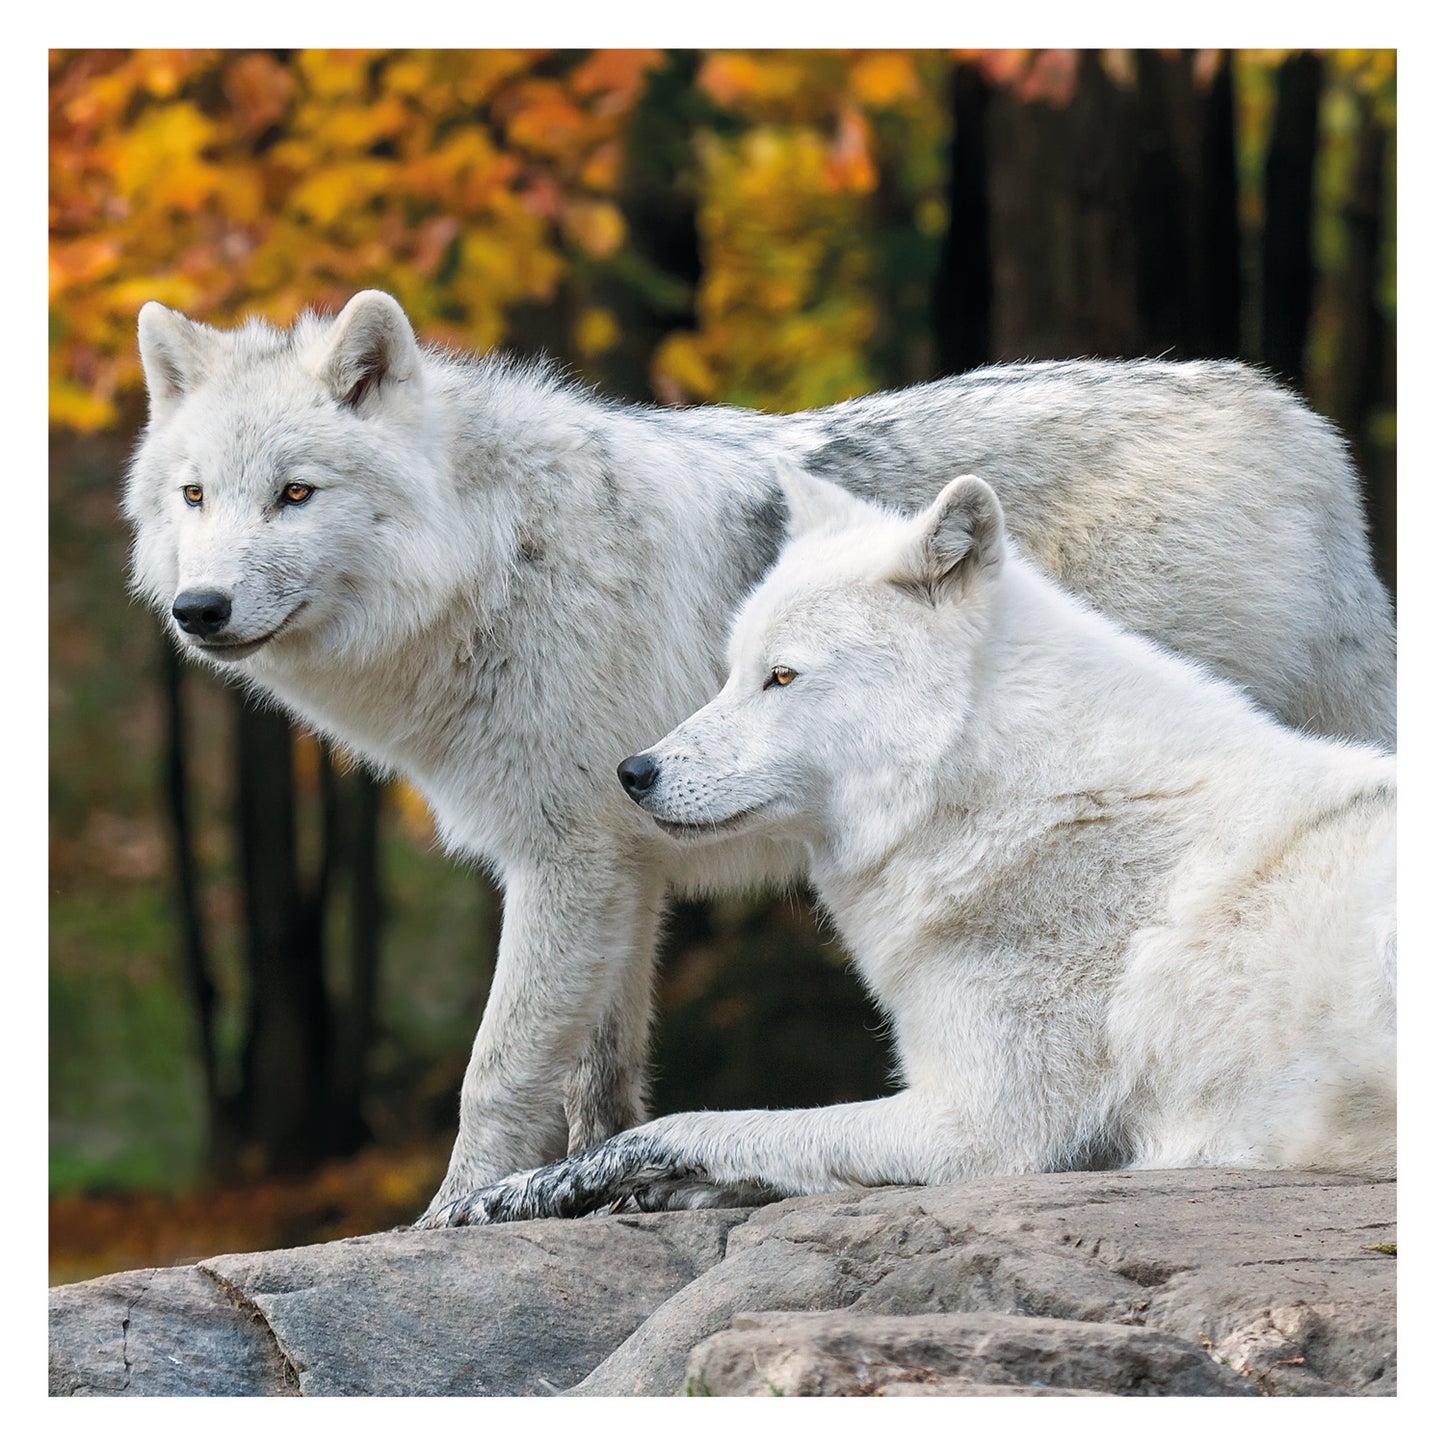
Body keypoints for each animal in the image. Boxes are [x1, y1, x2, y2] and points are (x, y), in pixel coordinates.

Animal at [439, 469, 1396, 1225]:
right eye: (731, 672)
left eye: (780, 676)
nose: (631, 772)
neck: (1006, 793)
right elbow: (731, 1146)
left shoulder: (979, 1130)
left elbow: (689, 1125)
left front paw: (521, 1189)